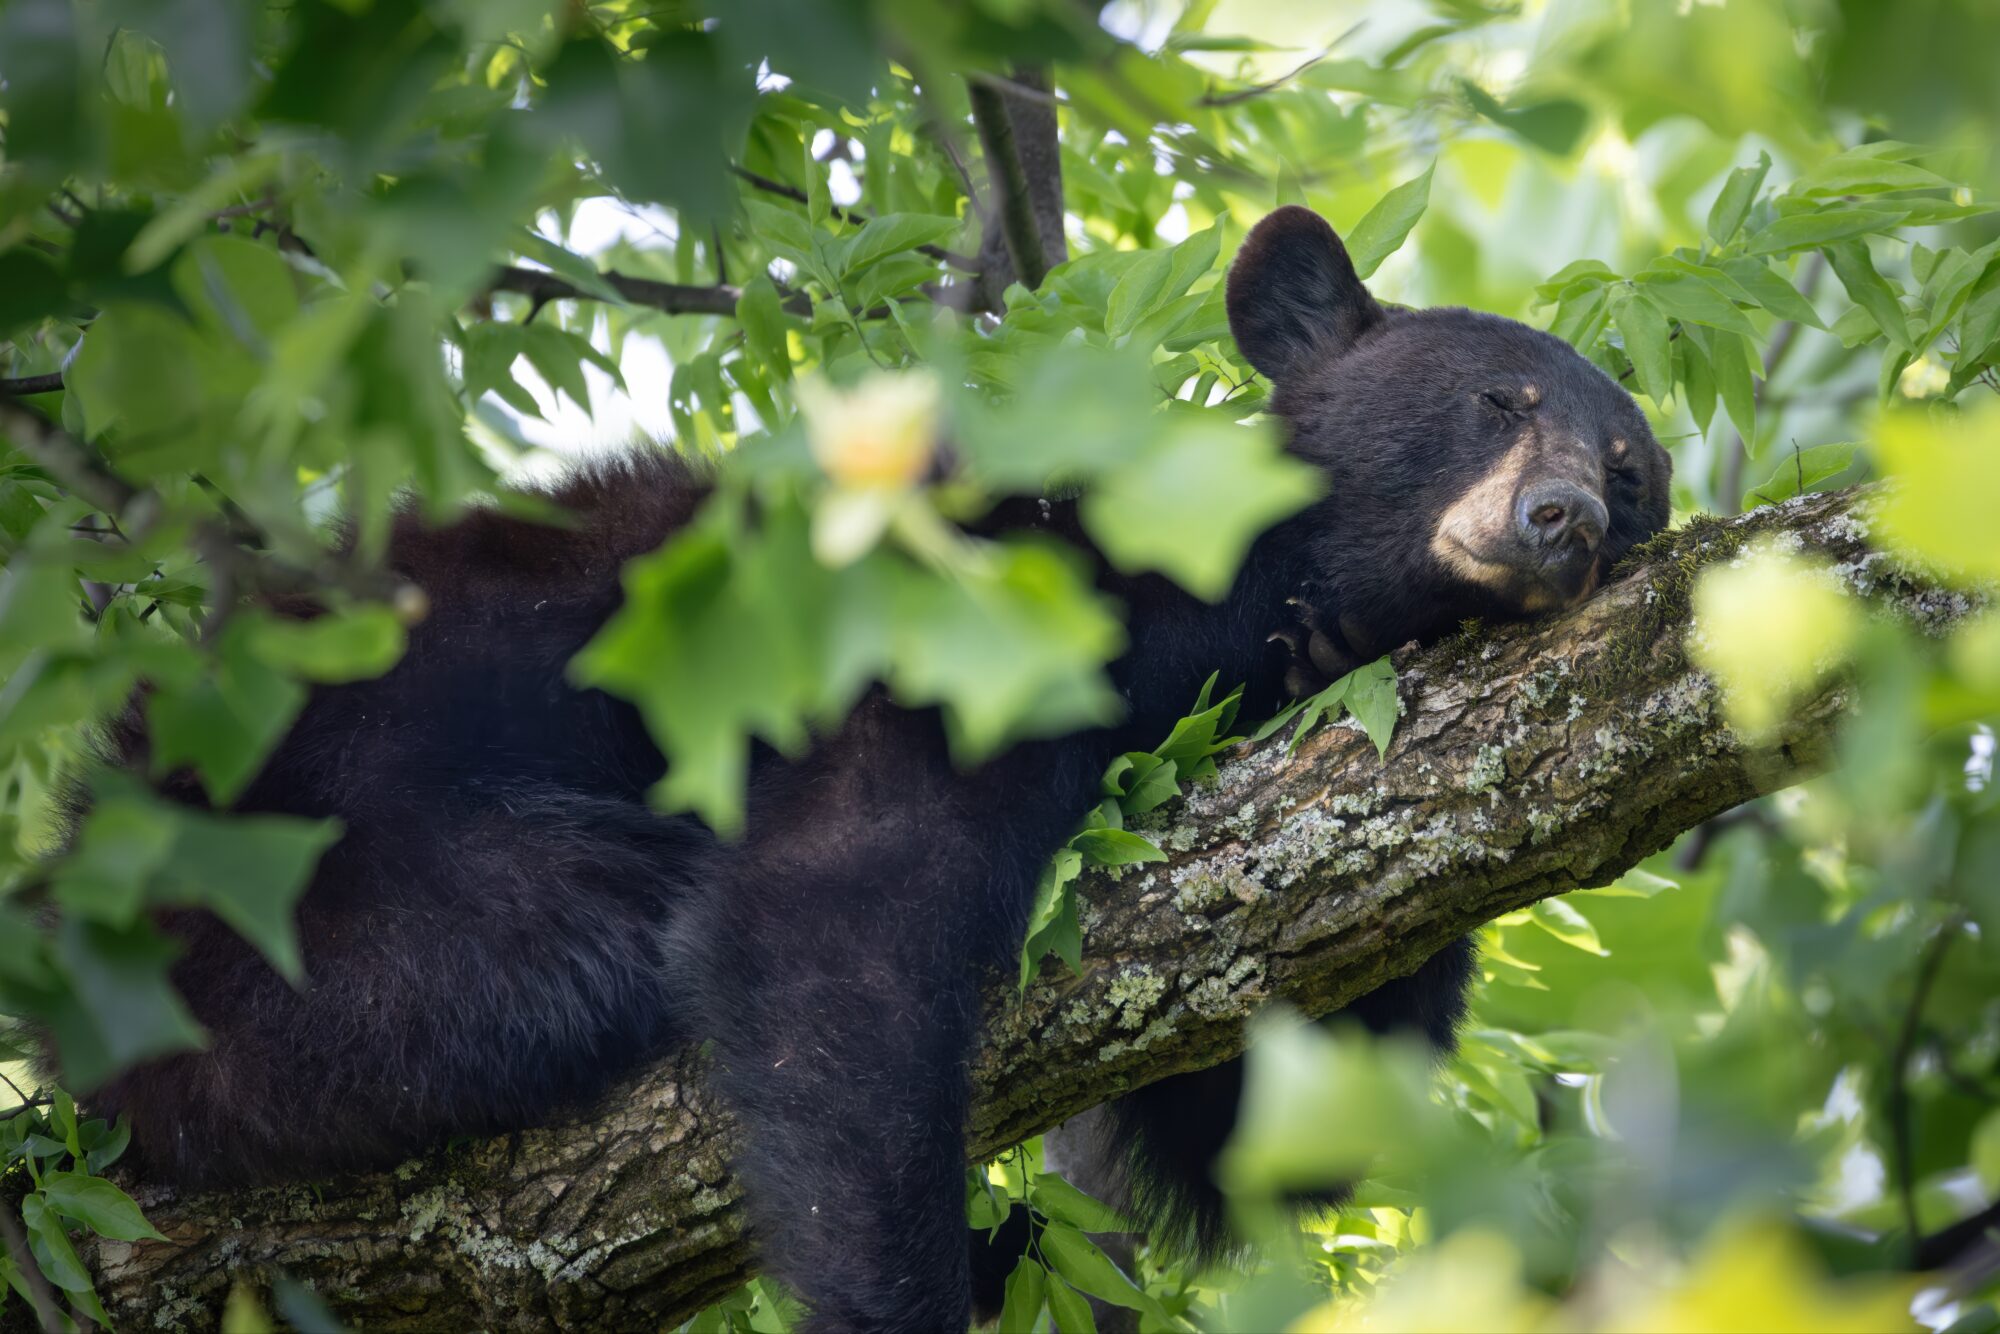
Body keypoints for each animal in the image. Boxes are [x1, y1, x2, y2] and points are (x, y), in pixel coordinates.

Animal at [68, 204, 1671, 1333]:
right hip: (310, 901)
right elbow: (843, 908)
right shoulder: (991, 620)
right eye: (1498, 400)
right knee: (576, 950)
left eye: (1635, 467)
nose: (1564, 520)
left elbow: (1260, 1118)